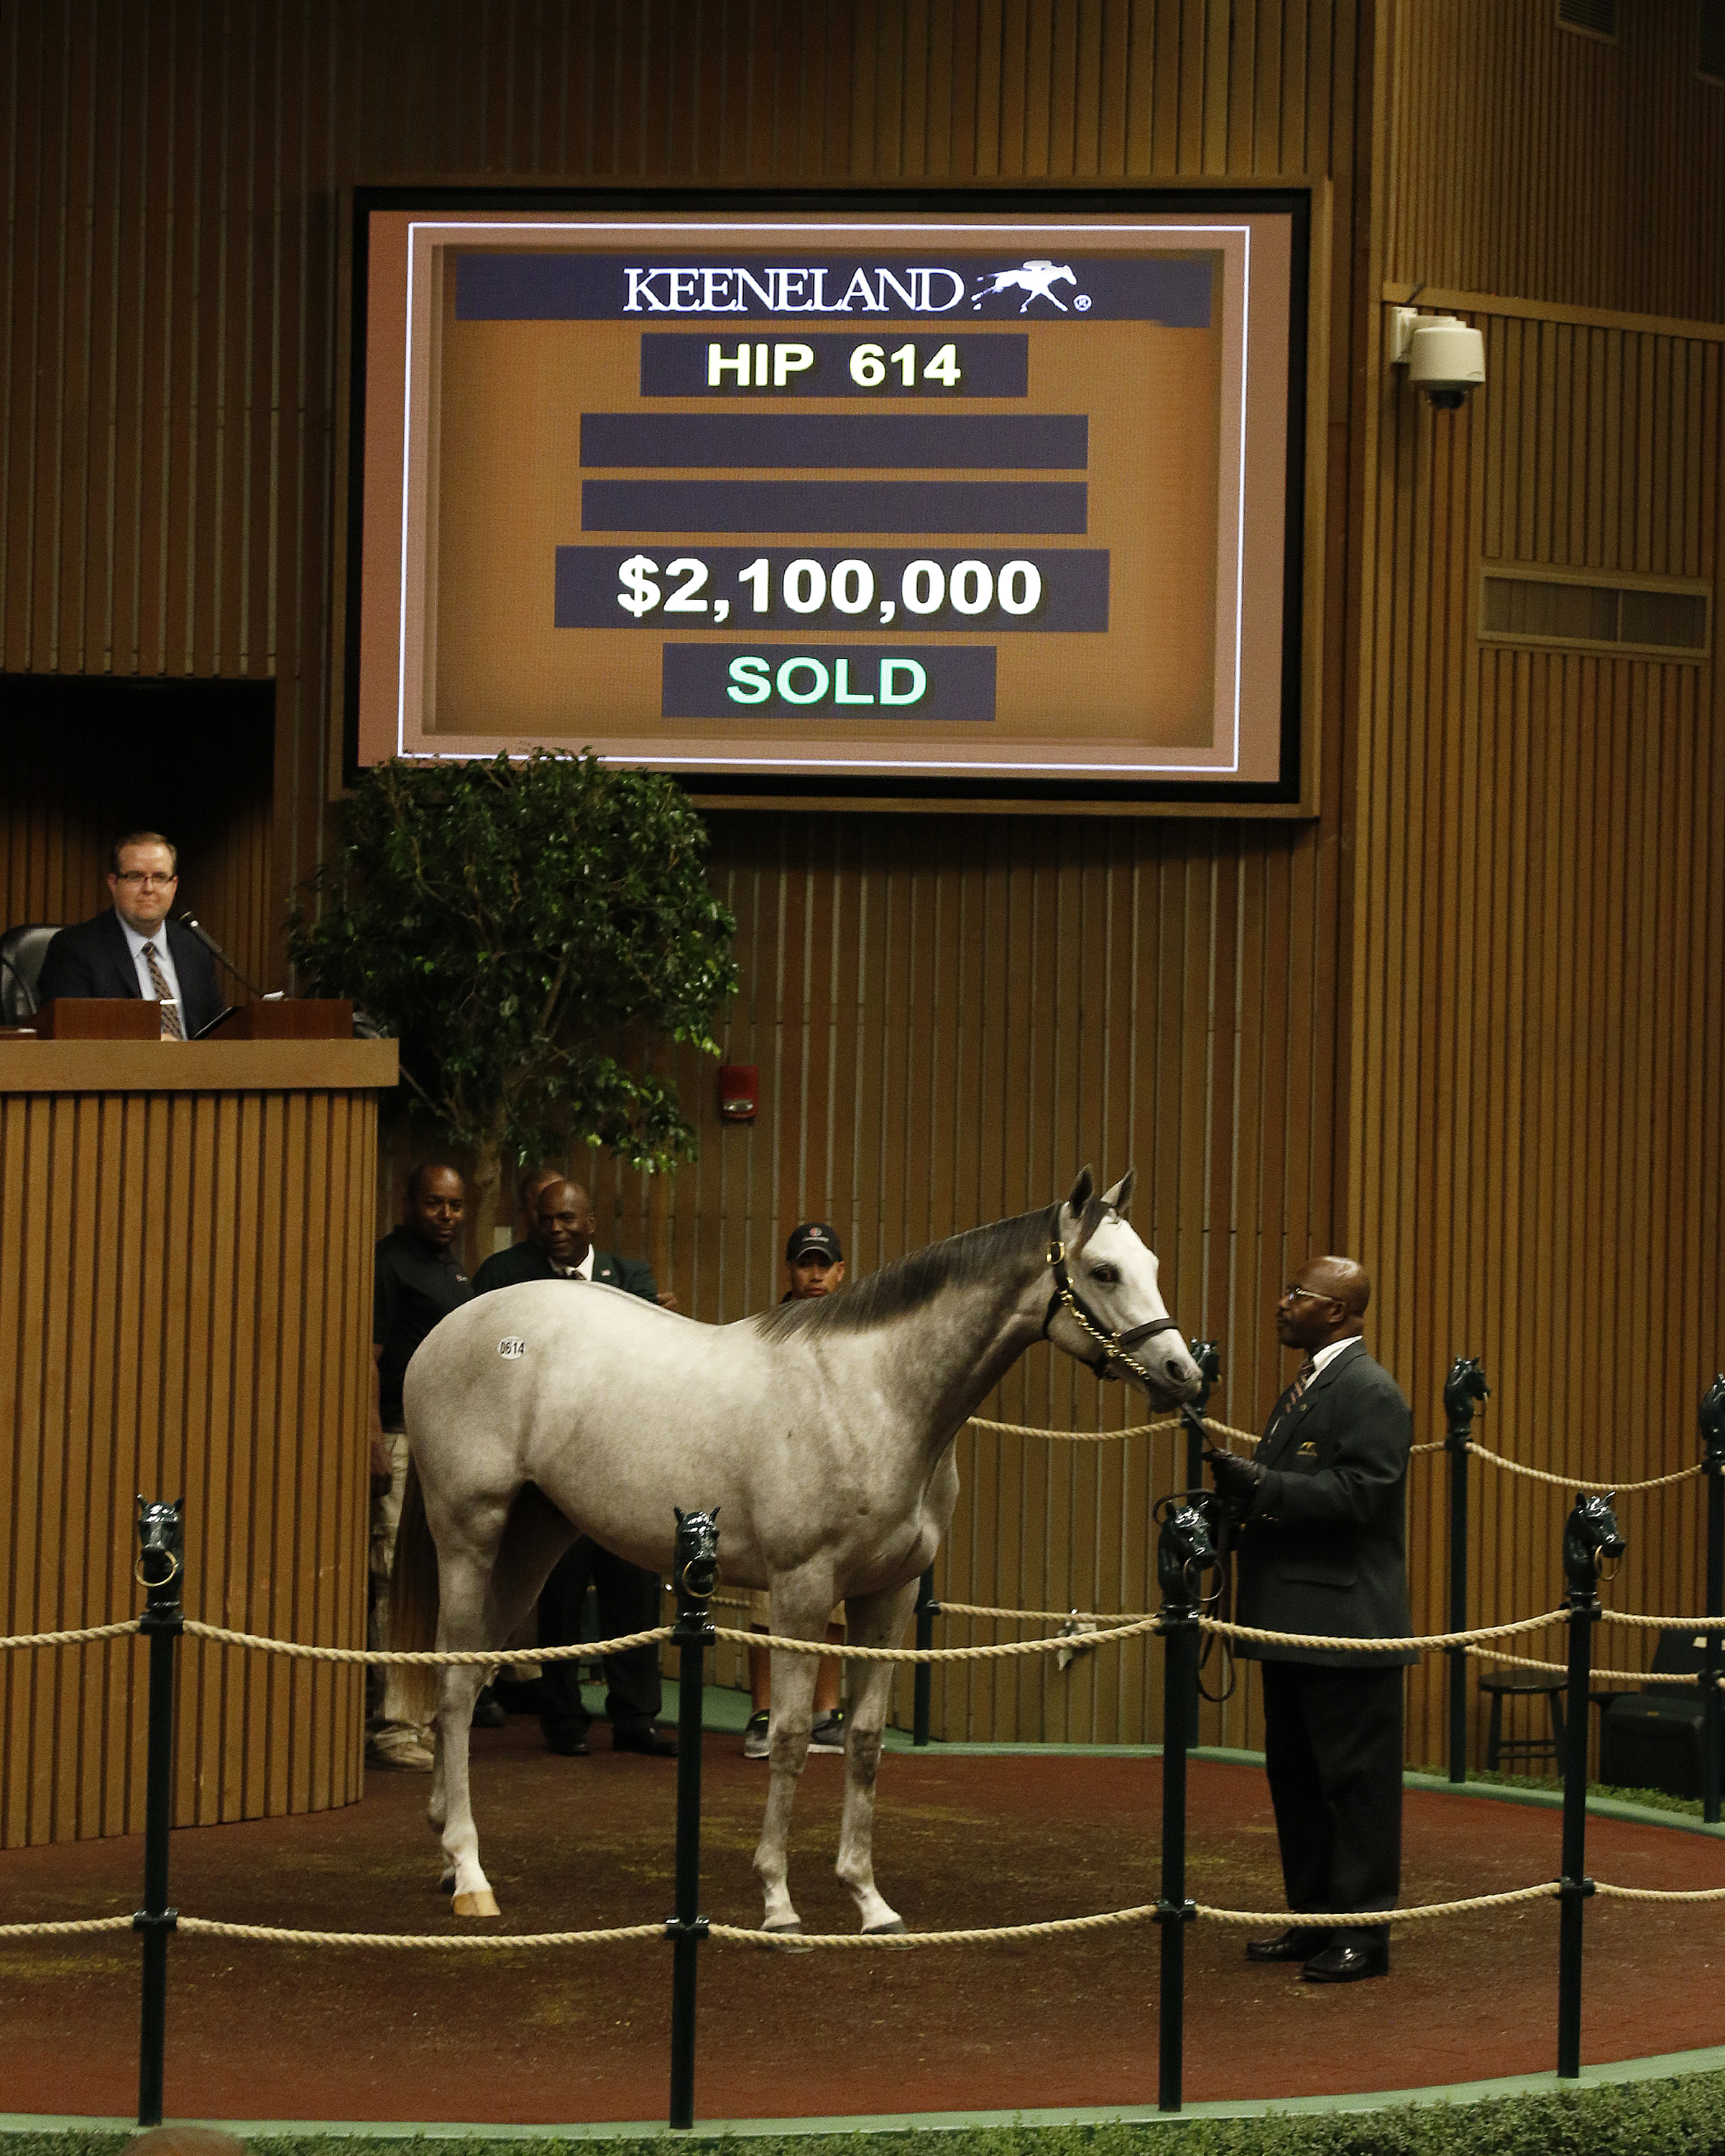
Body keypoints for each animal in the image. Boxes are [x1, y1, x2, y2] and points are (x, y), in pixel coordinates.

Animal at [390, 1181, 1199, 1940]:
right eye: (1103, 1270)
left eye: (1155, 1265)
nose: (1184, 1372)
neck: (874, 1394)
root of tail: (449, 1330)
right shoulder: (802, 1593)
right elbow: (788, 1738)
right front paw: (778, 1903)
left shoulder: (888, 1598)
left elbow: (865, 1744)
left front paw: (869, 1901)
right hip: (471, 1535)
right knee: (455, 1689)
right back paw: (470, 1874)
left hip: (532, 1542)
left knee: (464, 1674)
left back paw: (445, 1850)